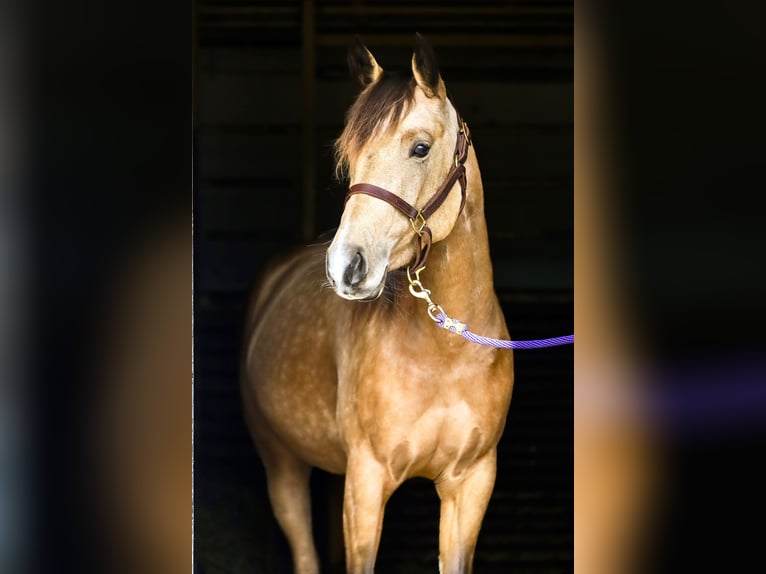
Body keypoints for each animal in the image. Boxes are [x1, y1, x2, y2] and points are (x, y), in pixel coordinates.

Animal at [240, 34, 514, 574]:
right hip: (282, 466)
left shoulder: (471, 484)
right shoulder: (366, 483)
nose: (345, 265)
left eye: (420, 147)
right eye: (350, 155)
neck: (445, 355)